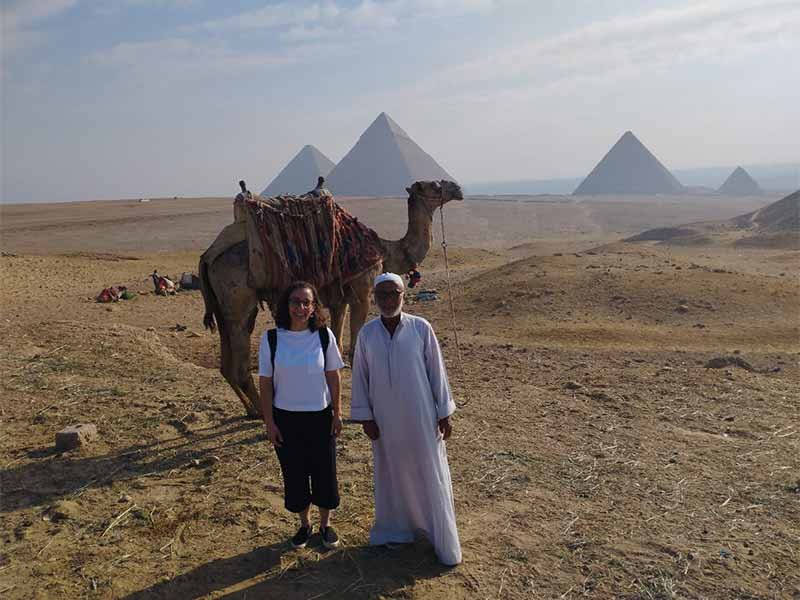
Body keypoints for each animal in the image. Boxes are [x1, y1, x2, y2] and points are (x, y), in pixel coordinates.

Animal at [198, 179, 466, 418]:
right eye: (433, 185)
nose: (457, 188)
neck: (385, 251)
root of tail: (208, 256)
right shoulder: (362, 292)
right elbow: (354, 349)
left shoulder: (340, 299)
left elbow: (335, 345)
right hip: (239, 298)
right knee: (241, 366)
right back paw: (264, 416)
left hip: (222, 306)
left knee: (226, 364)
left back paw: (250, 410)